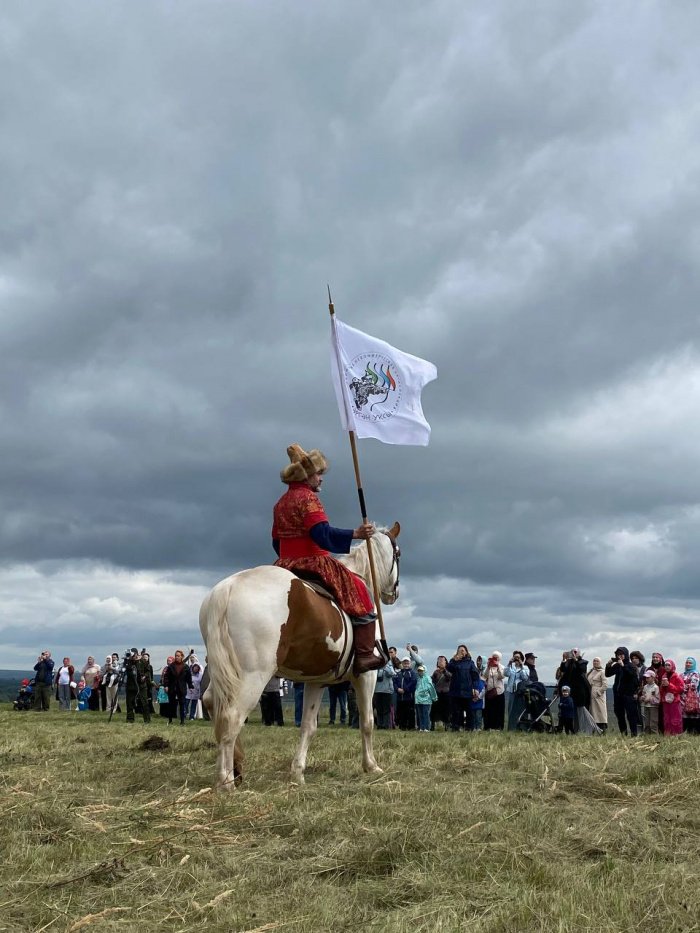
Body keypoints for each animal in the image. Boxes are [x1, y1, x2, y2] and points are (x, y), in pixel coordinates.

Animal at [200, 520, 402, 792]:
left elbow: (308, 726)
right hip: (253, 676)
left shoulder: (315, 681)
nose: (393, 594)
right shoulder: (366, 675)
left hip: (223, 672)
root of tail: (229, 588)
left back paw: (237, 768)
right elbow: (367, 721)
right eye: (398, 554)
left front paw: (297, 773)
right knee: (231, 718)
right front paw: (371, 766)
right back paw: (226, 781)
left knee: (212, 703)